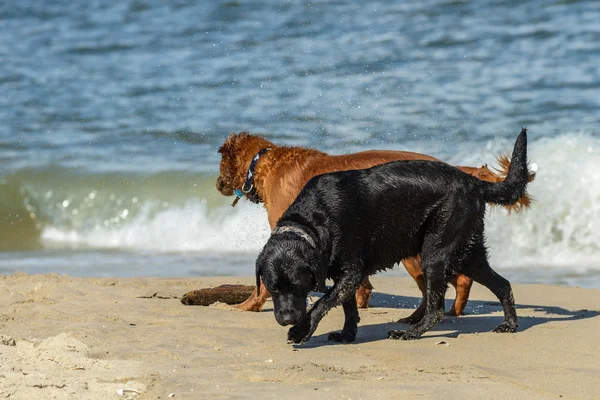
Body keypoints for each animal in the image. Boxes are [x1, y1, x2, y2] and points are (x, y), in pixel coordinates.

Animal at [217, 133, 536, 324]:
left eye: (220, 165)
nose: (218, 184)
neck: (262, 163)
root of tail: (459, 172)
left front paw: (246, 305)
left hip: (416, 251)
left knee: (445, 286)